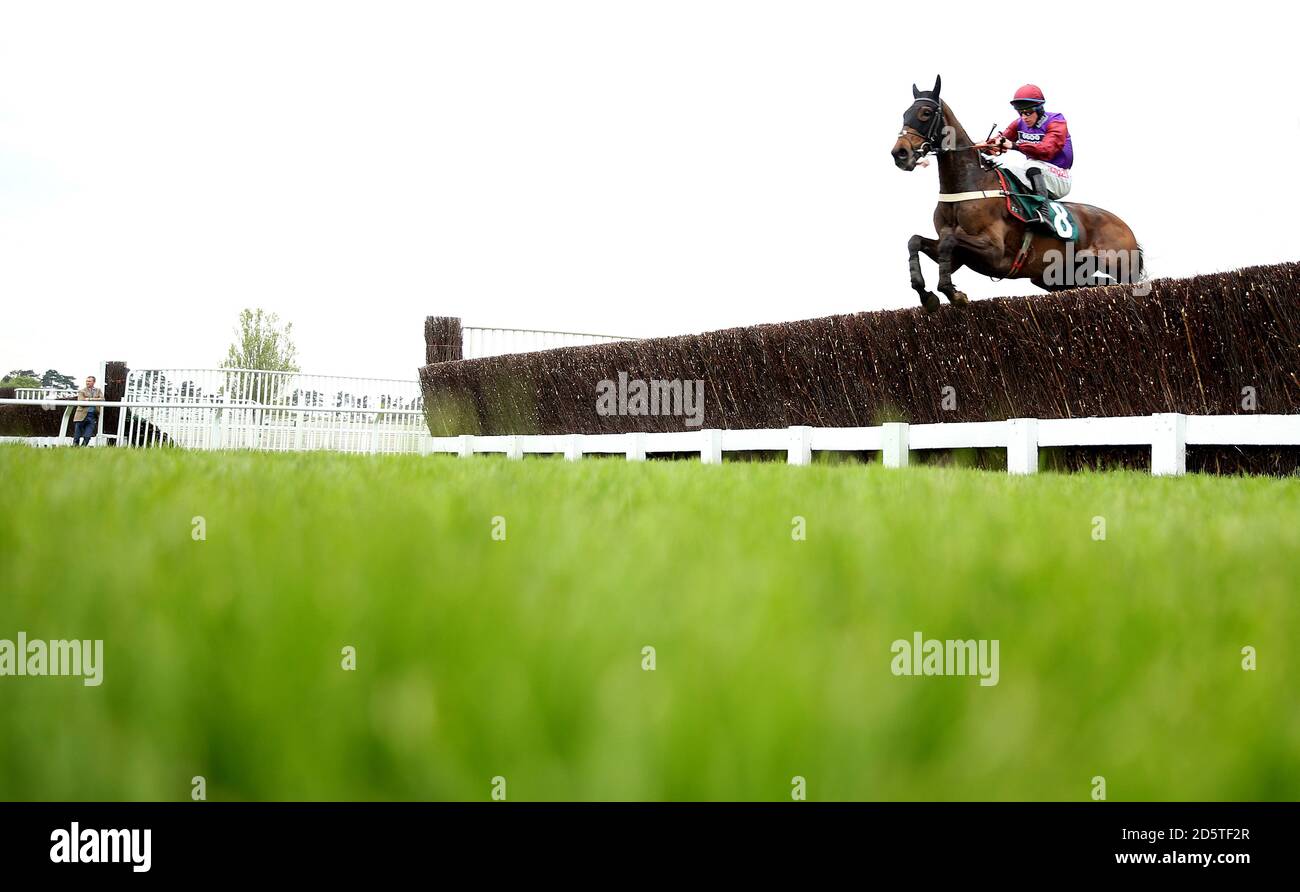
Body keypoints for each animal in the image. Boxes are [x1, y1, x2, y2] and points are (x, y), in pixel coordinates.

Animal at [889, 76, 1144, 314]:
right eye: (904, 113)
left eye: (925, 113)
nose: (900, 153)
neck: (965, 188)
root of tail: (1124, 225)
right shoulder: (958, 257)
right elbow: (916, 241)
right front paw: (927, 295)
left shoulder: (995, 252)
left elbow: (949, 241)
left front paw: (954, 294)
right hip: (1057, 277)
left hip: (1121, 269)